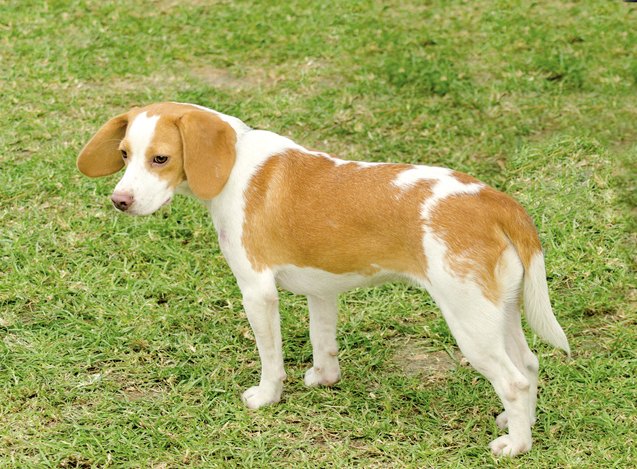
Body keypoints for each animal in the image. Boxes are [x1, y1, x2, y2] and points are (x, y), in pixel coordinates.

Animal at [77, 101, 568, 454]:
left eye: (161, 158)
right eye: (124, 155)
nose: (120, 201)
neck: (234, 163)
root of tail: (496, 201)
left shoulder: (257, 292)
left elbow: (271, 359)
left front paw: (266, 397)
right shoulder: (322, 290)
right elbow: (323, 340)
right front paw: (322, 378)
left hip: (469, 322)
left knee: (514, 381)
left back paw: (516, 445)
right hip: (498, 313)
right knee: (529, 365)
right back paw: (520, 423)